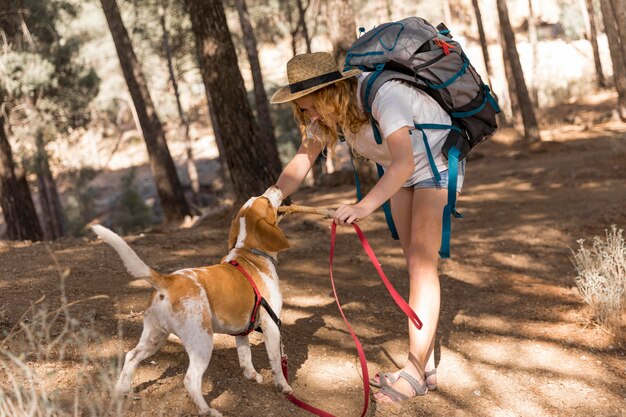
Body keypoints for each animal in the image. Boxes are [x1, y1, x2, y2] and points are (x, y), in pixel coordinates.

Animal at [92, 186, 290, 416]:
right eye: (266, 200)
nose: (276, 186)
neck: (249, 252)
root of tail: (168, 280)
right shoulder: (271, 325)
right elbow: (277, 362)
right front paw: (284, 386)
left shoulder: (241, 331)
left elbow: (245, 356)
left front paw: (252, 375)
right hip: (202, 342)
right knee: (190, 379)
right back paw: (207, 410)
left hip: (154, 337)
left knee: (131, 356)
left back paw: (123, 390)